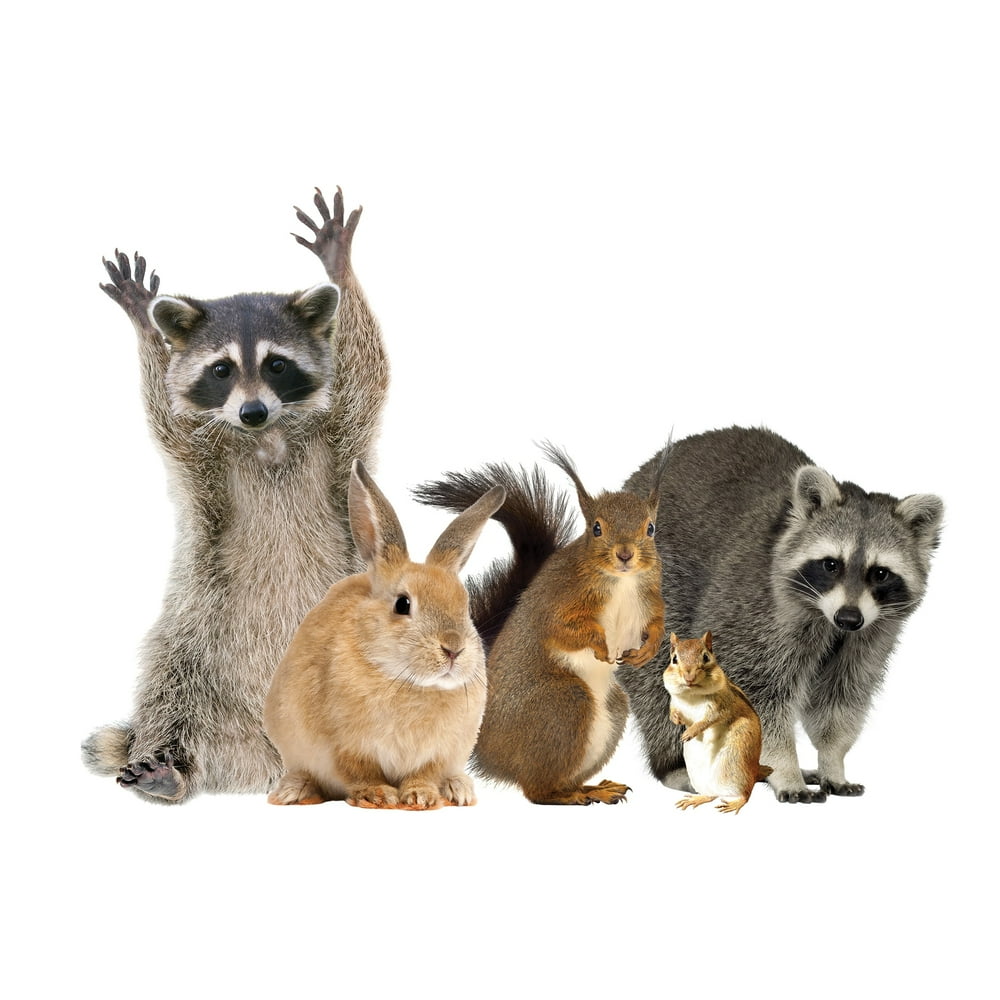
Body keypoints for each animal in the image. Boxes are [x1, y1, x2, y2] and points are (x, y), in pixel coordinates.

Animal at [81, 187, 389, 804]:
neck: (264, 438)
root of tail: (265, 763)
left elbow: (369, 373)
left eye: (276, 364)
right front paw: (144, 324)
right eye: (221, 369)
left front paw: (339, 264)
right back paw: (169, 767)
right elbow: (167, 414)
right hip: (195, 632)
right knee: (168, 688)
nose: (251, 410)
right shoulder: (202, 459)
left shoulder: (341, 444)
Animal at [618, 426, 943, 803]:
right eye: (831, 564)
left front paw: (833, 761)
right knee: (656, 677)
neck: (825, 617)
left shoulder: (871, 633)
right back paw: (677, 765)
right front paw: (786, 769)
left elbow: (841, 698)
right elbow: (753, 692)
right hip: (647, 590)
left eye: (880, 573)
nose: (848, 618)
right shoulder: (754, 609)